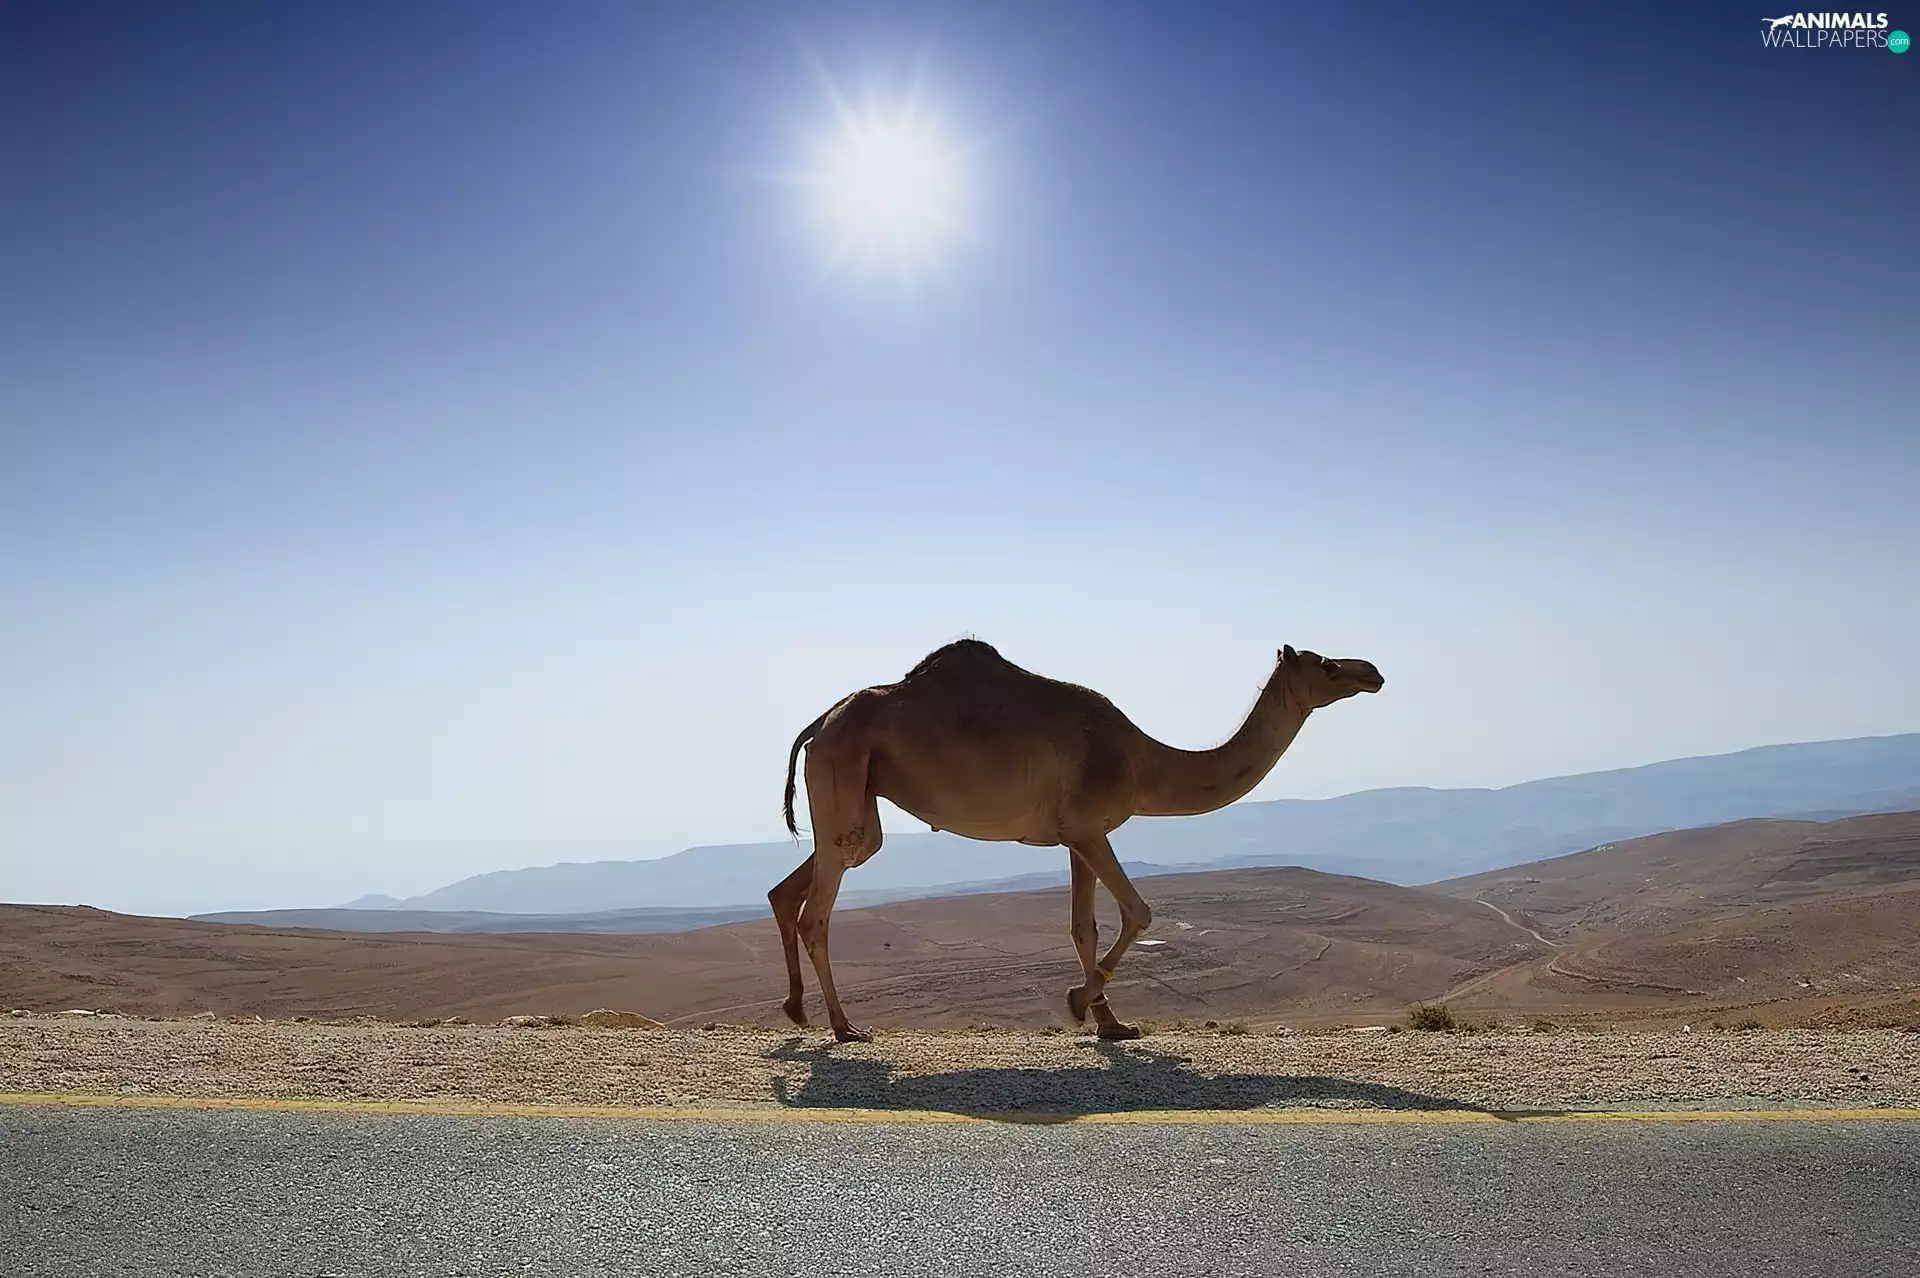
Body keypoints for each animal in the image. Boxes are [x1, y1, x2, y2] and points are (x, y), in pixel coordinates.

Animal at [770, 639, 1384, 1042]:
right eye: (1329, 666)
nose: (1373, 672)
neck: (1142, 761)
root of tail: (818, 723)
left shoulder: (1076, 836)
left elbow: (1083, 926)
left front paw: (1109, 1020)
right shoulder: (1089, 827)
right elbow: (1138, 911)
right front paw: (1078, 1002)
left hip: (854, 794)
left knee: (806, 878)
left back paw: (797, 1009)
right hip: (845, 765)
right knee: (817, 910)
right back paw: (844, 1027)